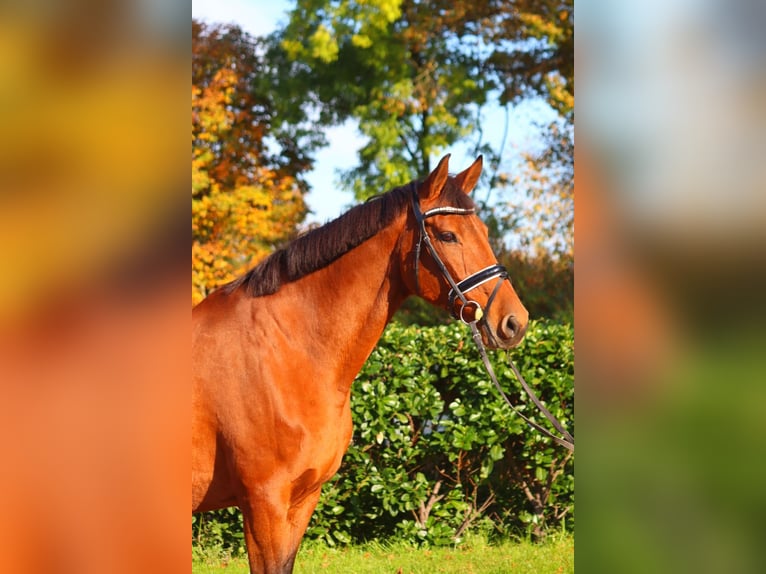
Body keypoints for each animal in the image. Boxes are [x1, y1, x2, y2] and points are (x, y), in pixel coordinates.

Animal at [191, 155, 528, 572]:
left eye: (483, 230)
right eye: (448, 236)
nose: (514, 321)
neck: (286, 349)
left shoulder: (303, 499)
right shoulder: (264, 503)